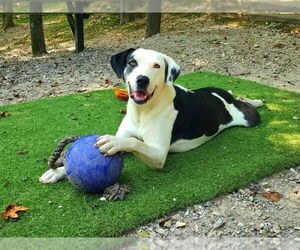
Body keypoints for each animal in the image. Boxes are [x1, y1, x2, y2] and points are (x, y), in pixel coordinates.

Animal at [39, 47, 262, 184]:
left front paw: (112, 142)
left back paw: (256, 101)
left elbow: (135, 142)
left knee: (248, 107)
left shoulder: (158, 154)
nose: (142, 80)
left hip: (248, 118)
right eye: (132, 62)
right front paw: (57, 171)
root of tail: (221, 95)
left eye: (157, 66)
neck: (142, 111)